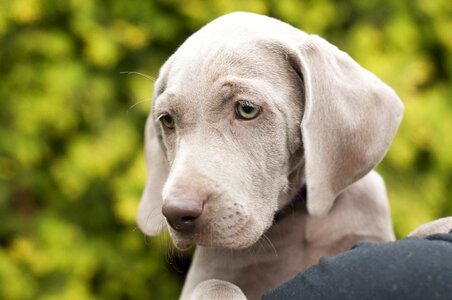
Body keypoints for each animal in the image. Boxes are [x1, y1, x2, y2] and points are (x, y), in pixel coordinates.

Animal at [136, 12, 404, 300]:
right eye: (167, 120)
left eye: (247, 109)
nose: (176, 214)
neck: (297, 215)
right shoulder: (209, 274)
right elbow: (215, 284)